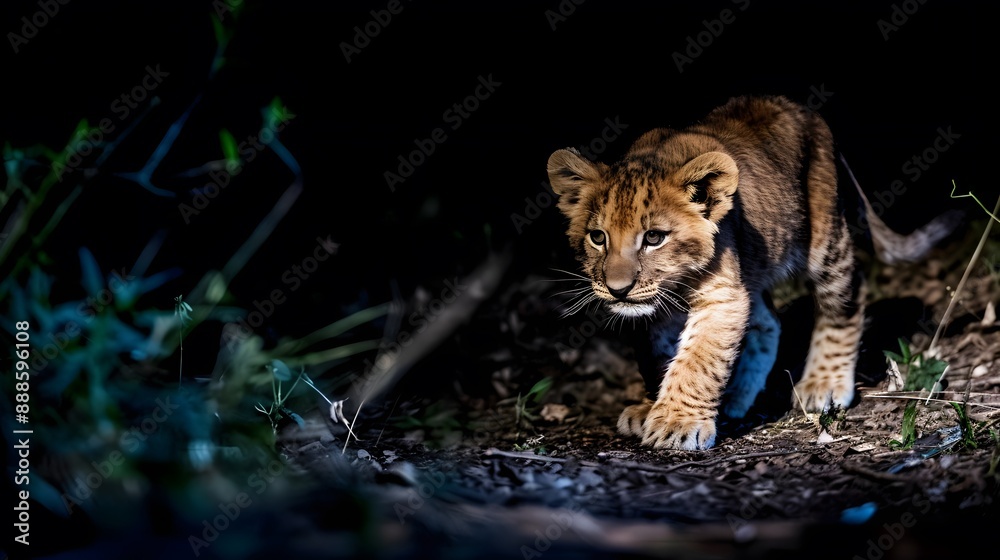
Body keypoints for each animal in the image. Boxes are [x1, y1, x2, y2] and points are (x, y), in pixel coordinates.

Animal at [546, 95, 865, 450]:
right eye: (598, 237)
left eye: (654, 237)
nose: (618, 289)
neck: (676, 283)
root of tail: (798, 106)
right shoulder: (659, 311)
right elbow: (657, 357)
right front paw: (649, 408)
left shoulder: (722, 296)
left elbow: (699, 361)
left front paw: (677, 423)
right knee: (770, 321)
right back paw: (738, 397)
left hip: (825, 239)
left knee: (846, 299)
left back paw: (825, 383)